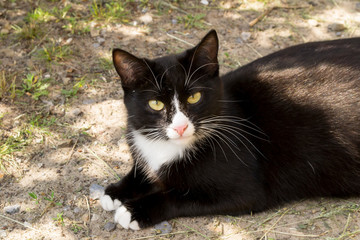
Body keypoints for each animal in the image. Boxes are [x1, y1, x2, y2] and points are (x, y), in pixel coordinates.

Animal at [100, 30, 360, 231]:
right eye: (156, 104)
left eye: (194, 97)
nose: (181, 126)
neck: (168, 148)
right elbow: (142, 172)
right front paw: (116, 191)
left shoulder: (247, 191)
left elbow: (179, 195)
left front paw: (135, 210)